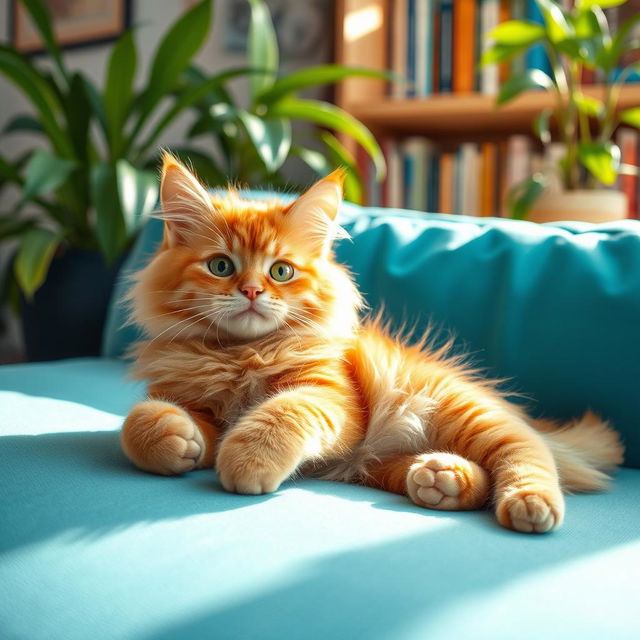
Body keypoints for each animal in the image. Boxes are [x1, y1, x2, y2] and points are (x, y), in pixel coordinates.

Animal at [121, 152, 624, 532]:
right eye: (221, 266)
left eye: (281, 271)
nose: (250, 292)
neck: (239, 354)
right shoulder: (187, 397)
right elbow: (138, 422)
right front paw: (175, 439)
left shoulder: (332, 397)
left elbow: (279, 414)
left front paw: (247, 460)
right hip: (387, 464)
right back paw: (441, 479)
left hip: (461, 408)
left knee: (528, 451)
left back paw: (529, 503)